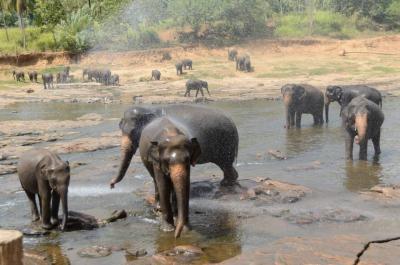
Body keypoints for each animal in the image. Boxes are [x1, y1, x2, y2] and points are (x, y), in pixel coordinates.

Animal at [109, 103, 239, 194]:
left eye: (133, 132)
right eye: (120, 128)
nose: (111, 185)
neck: (149, 108)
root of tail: (233, 122)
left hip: (225, 142)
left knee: (225, 163)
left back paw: (226, 183)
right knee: (226, 165)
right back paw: (227, 182)